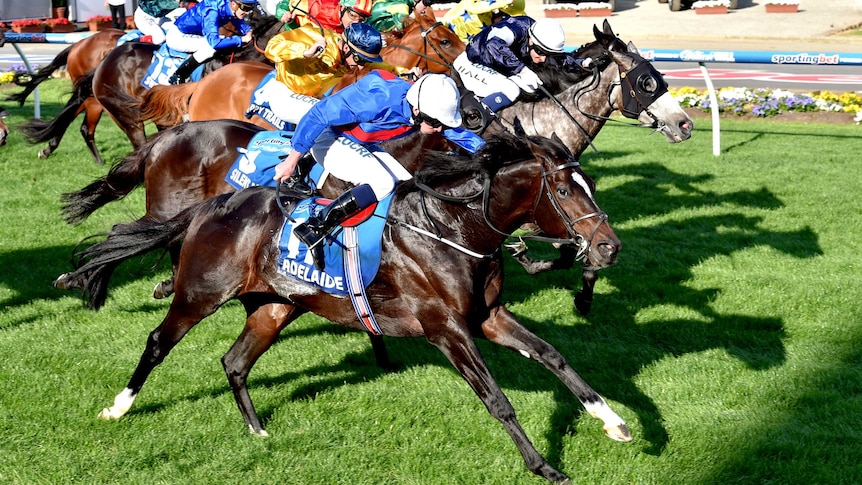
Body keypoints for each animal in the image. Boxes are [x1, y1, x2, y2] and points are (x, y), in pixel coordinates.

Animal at [11, 29, 125, 164]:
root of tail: (79, 43)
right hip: (92, 95)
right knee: (84, 126)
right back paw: (99, 162)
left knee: (67, 117)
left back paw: (47, 150)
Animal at [55, 130, 636, 482]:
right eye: (565, 189)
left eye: (590, 182)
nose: (609, 247)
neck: (452, 229)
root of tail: (210, 205)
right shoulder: (447, 329)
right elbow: (498, 400)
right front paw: (543, 466)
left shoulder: (488, 318)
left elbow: (554, 357)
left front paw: (614, 422)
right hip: (200, 294)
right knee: (158, 342)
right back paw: (119, 406)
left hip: (276, 306)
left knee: (235, 361)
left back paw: (257, 430)